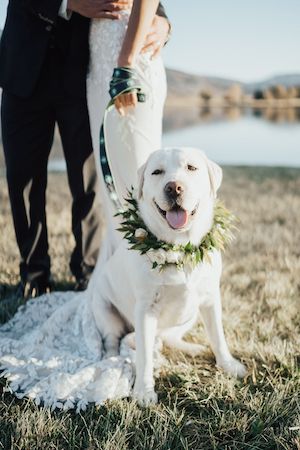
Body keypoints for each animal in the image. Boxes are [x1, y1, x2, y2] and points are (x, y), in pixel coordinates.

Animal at [91, 148, 246, 404]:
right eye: (157, 172)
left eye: (192, 168)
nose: (174, 187)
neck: (179, 248)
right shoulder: (146, 309)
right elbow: (144, 356)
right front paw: (144, 391)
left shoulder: (210, 298)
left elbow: (218, 336)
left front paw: (228, 365)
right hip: (104, 310)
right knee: (114, 340)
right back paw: (110, 359)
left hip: (189, 315)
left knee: (167, 338)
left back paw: (192, 348)